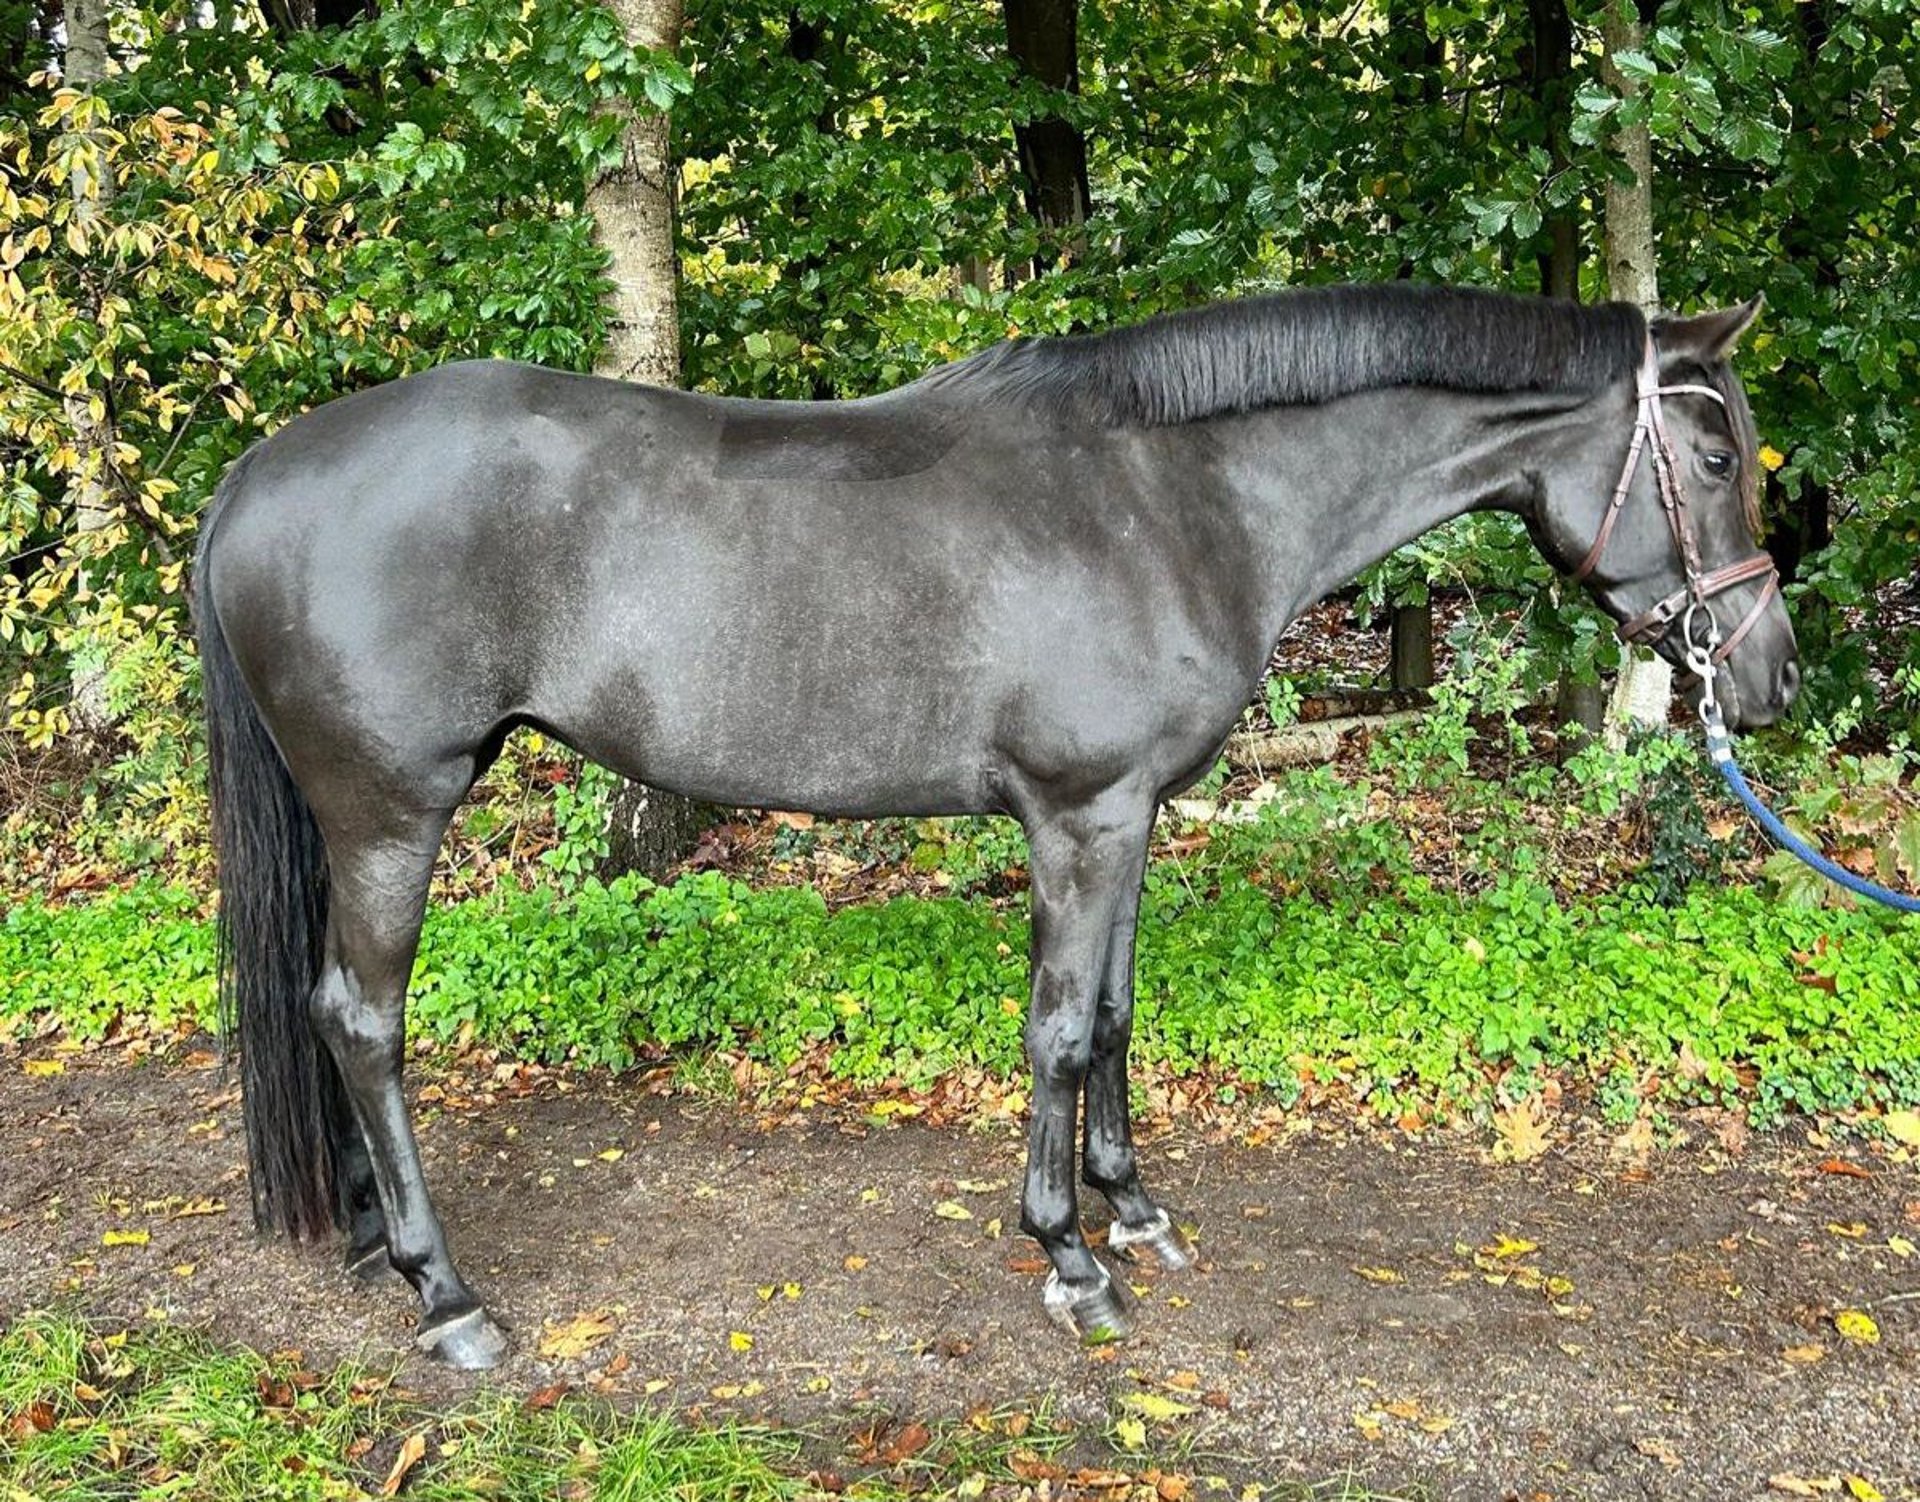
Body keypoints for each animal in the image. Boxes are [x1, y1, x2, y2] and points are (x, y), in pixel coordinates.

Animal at [194, 282, 1797, 1367]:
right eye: (1718, 459)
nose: (1768, 675)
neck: (1172, 493)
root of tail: (259, 475)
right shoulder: (1079, 815)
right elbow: (1061, 1028)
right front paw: (1070, 1257)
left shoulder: (1132, 813)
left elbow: (1120, 1010)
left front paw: (1132, 1205)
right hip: (393, 812)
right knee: (363, 1019)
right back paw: (447, 1293)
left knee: (323, 1009)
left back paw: (368, 1239)